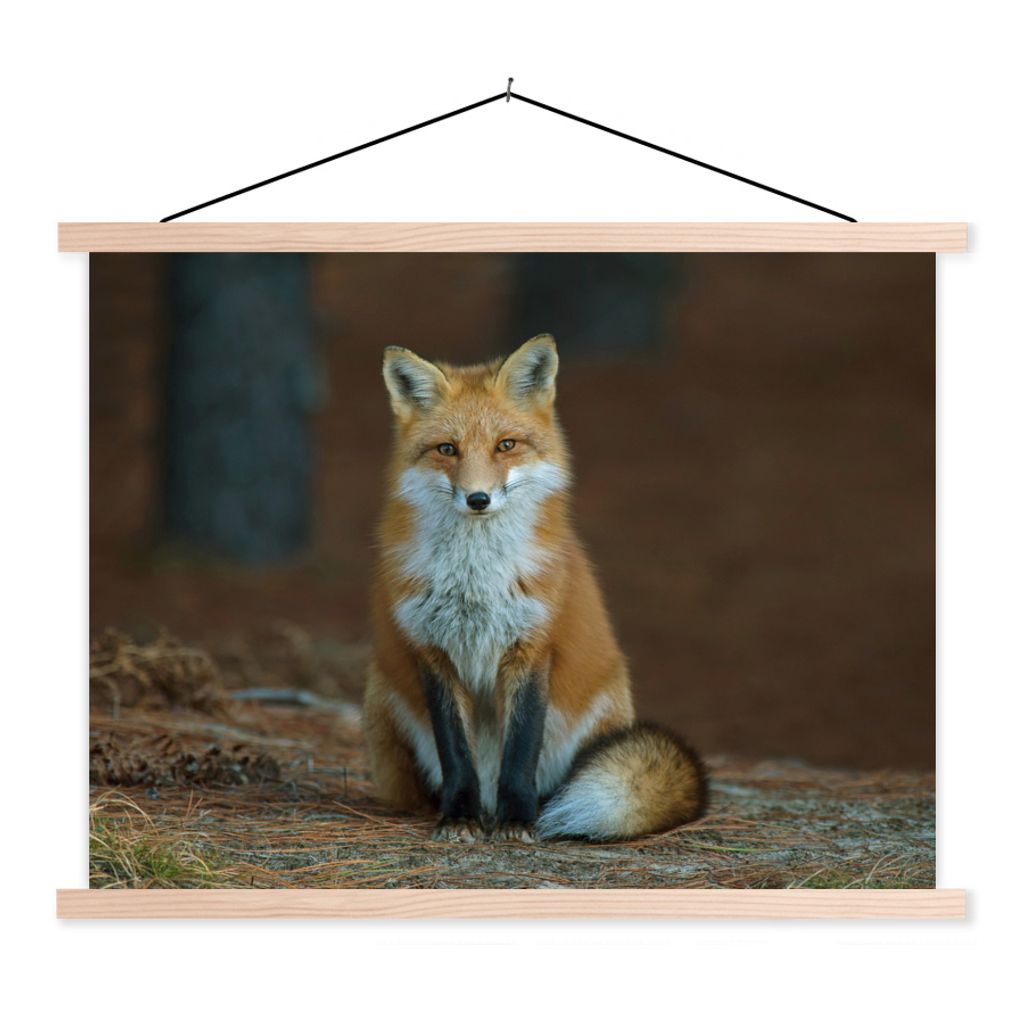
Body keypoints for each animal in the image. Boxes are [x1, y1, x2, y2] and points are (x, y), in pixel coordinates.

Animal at [362, 333, 706, 842]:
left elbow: (521, 750)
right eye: (447, 449)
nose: (478, 498)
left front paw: (518, 819)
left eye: (505, 445)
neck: (476, 580)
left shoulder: (532, 646)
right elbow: (455, 753)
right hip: (380, 694)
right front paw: (459, 816)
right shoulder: (433, 651)